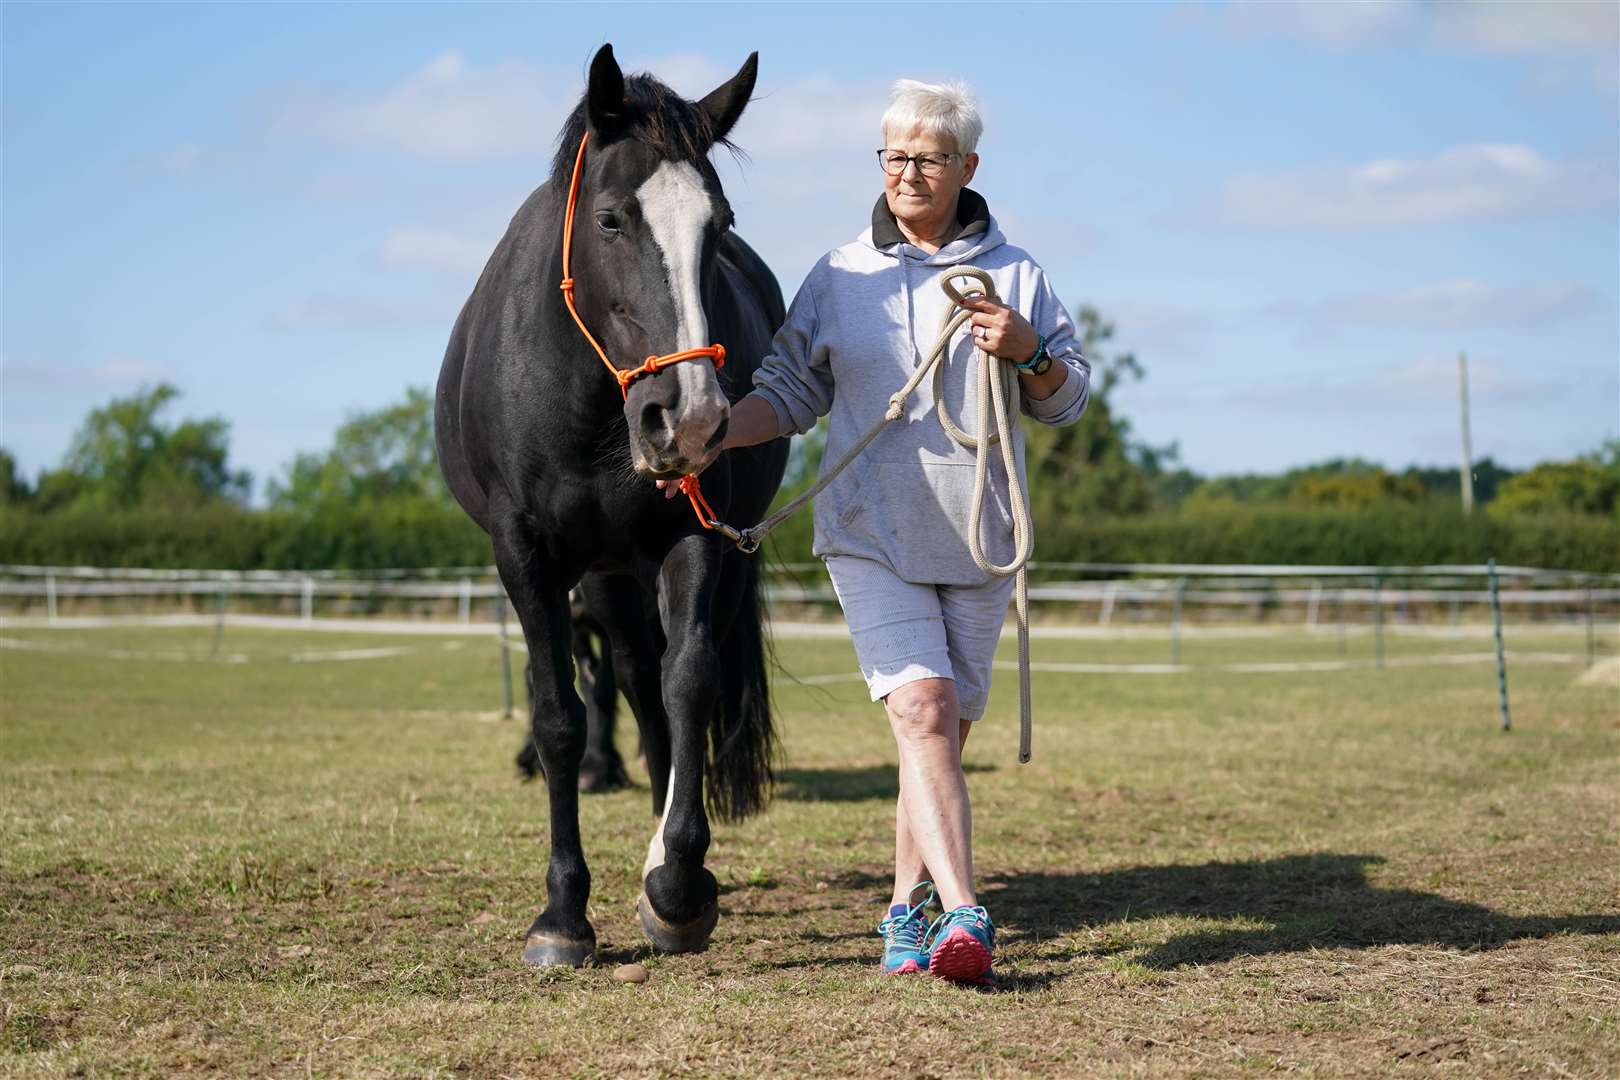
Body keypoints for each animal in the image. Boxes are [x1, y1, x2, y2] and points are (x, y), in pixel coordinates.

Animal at [430, 46, 784, 965]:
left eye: (720, 224)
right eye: (612, 220)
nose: (689, 418)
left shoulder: (695, 540)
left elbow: (688, 685)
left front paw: (679, 886)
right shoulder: (525, 555)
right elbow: (559, 713)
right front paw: (562, 913)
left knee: (658, 686)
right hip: (607, 580)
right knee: (625, 680)